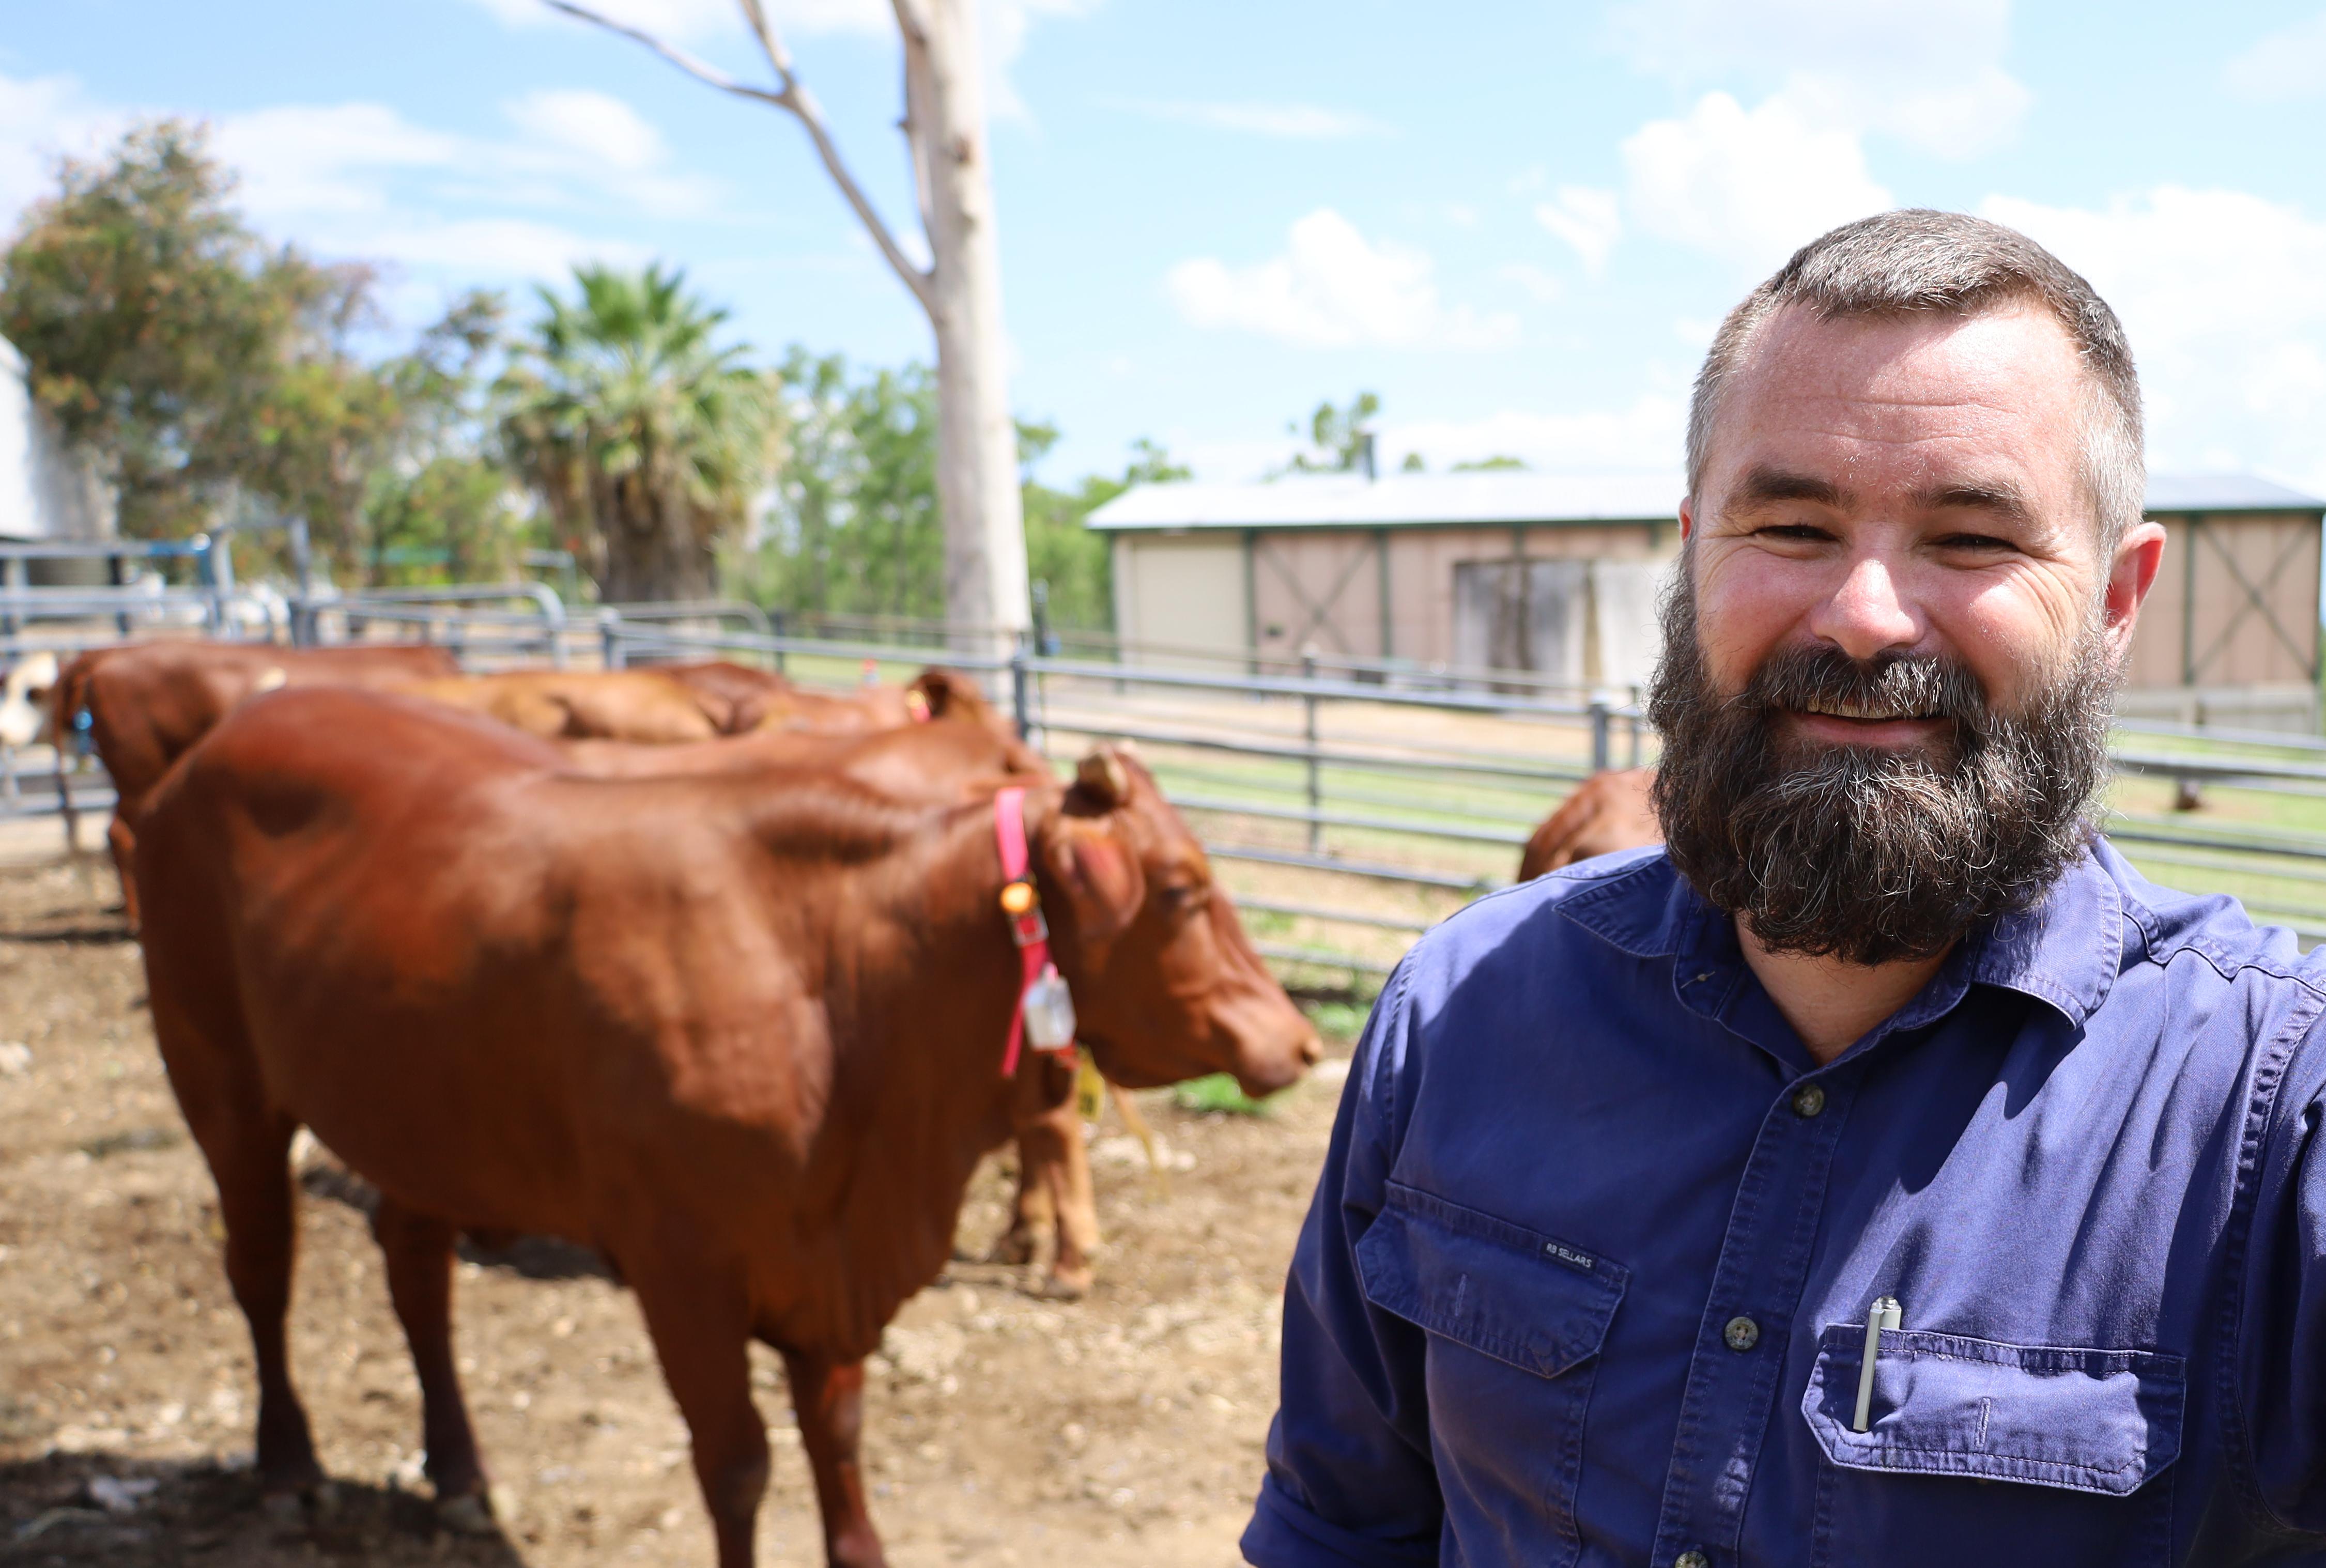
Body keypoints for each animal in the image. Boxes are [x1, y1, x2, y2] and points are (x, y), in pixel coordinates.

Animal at [136, 688, 1321, 1554]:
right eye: (1182, 889)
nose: (1304, 1042)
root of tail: (218, 740)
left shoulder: (826, 1277)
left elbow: (837, 1441)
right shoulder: (684, 1272)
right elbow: (738, 1463)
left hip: (415, 1115)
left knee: (416, 1273)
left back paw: (462, 1474)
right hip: (220, 1079)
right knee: (262, 1268)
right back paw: (288, 1467)